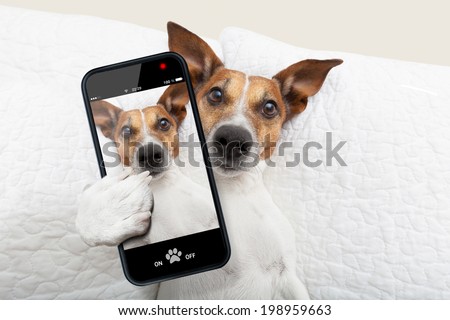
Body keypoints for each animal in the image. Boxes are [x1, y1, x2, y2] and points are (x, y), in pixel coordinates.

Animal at [76, 23, 342, 300]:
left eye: (270, 107)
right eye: (216, 94)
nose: (233, 139)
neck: (230, 191)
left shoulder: (288, 278)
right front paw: (108, 212)